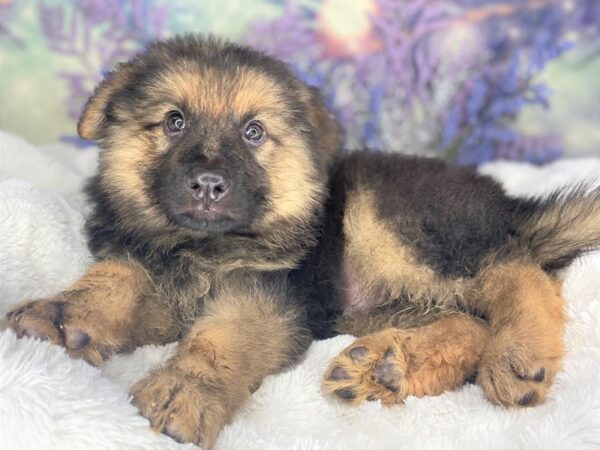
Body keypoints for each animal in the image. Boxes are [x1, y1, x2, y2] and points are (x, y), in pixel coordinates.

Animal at [4, 36, 600, 446]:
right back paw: (387, 367)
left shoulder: (266, 296)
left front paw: (186, 390)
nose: (208, 184)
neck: (197, 246)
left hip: (397, 221)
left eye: (254, 133)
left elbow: (221, 339)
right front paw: (65, 315)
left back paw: (517, 352)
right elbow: (118, 278)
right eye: (174, 122)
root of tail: (506, 207)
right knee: (469, 320)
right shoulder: (154, 278)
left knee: (515, 269)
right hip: (372, 302)